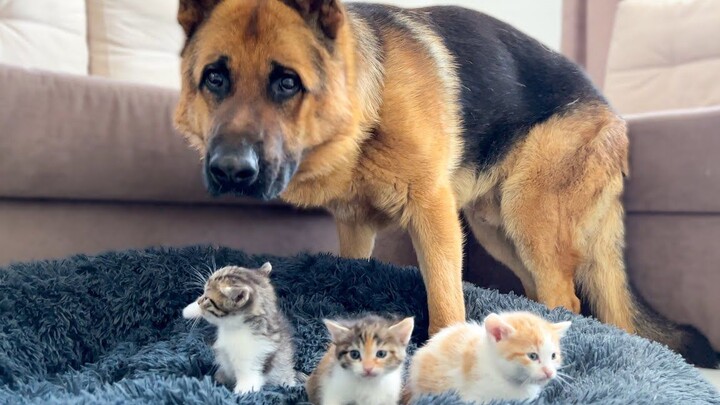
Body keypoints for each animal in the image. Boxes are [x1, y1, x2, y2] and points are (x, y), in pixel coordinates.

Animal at [173, 0, 716, 366]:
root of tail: (611, 112)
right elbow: (352, 270)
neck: (369, 106)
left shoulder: (432, 213)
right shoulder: (355, 227)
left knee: (570, 299)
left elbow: (444, 299)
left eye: (286, 82)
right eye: (215, 78)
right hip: (499, 231)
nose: (231, 172)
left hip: (529, 218)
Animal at [186, 260, 300, 392]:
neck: (233, 327)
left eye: (206, 298)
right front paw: (189, 310)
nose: (199, 301)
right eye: (203, 294)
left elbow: (248, 384)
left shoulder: (252, 358)